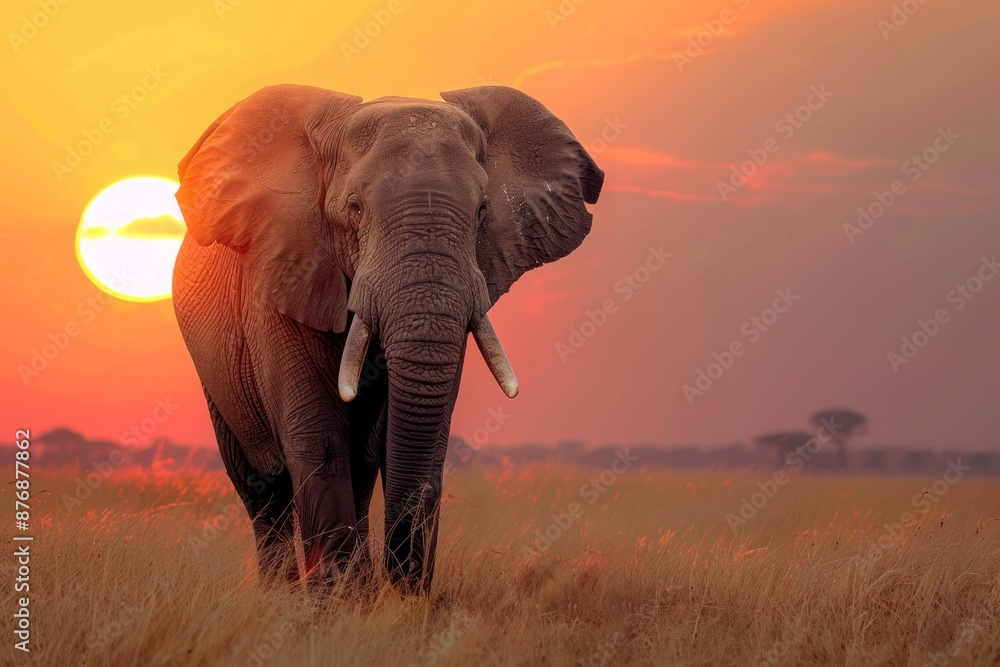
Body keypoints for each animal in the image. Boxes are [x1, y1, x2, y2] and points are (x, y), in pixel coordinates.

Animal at [172, 83, 603, 593]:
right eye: (354, 209)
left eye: (482, 210)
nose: (401, 584)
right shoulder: (281, 273)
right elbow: (320, 439)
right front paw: (334, 603)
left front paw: (383, 600)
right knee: (262, 488)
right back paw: (285, 593)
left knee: (358, 469)